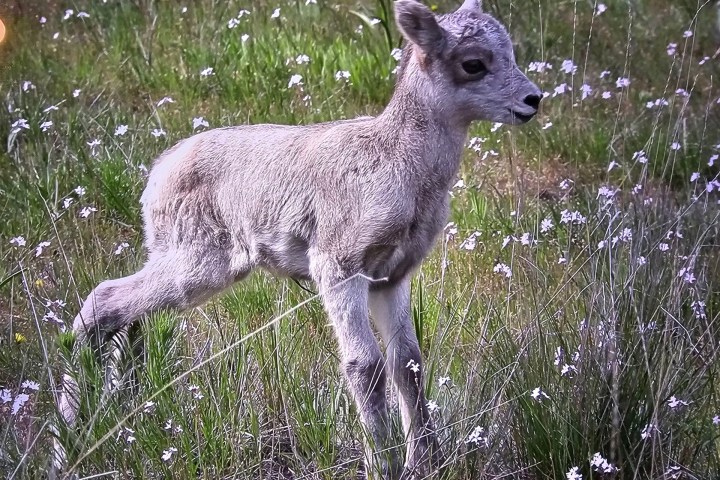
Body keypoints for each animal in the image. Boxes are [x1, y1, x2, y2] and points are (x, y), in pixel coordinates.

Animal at [55, 0, 541, 478]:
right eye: (473, 63)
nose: (533, 99)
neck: (402, 165)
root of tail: (158, 172)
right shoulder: (338, 268)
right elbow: (365, 366)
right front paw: (381, 465)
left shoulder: (392, 277)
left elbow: (408, 363)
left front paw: (425, 463)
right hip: (196, 264)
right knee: (104, 299)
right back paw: (67, 445)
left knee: (126, 316)